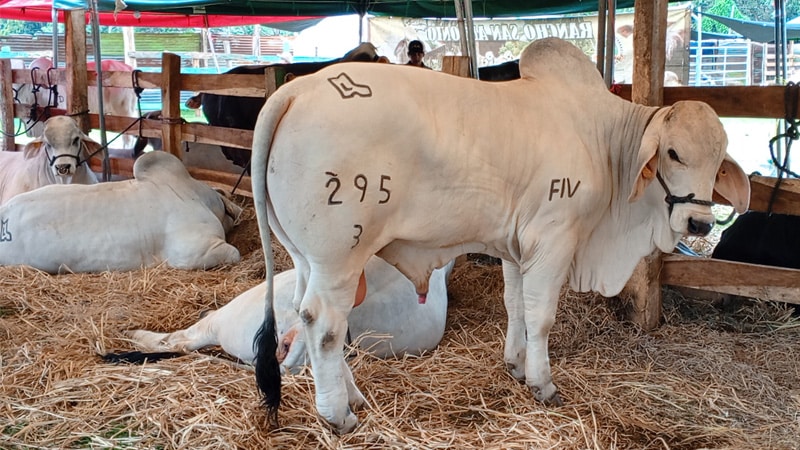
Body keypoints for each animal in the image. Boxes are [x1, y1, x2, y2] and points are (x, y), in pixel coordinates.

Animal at [248, 37, 752, 432]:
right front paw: (542, 383)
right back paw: (338, 414)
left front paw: (515, 364)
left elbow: (515, 305)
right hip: (340, 254)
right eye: (673, 152)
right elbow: (541, 315)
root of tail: (296, 88)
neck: (605, 142)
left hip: (308, 257)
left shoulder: (513, 246)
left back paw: (352, 397)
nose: (700, 224)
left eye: (719, 159)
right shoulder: (554, 239)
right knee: (324, 324)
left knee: (306, 315)